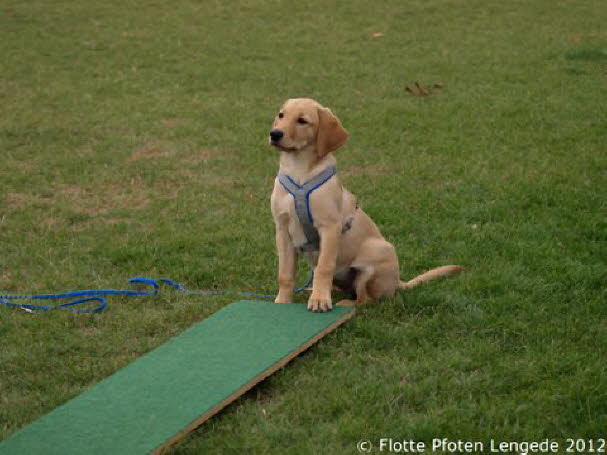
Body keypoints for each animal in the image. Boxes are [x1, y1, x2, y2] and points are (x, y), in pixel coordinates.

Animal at [268, 98, 464, 312]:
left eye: (302, 121)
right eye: (281, 115)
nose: (274, 134)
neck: (299, 170)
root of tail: (397, 282)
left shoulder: (329, 227)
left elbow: (324, 267)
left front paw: (320, 300)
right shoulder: (282, 229)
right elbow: (285, 273)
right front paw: (283, 301)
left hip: (375, 259)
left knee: (365, 299)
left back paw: (343, 301)